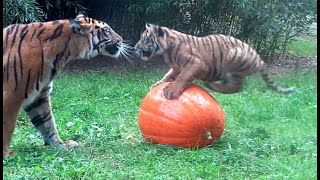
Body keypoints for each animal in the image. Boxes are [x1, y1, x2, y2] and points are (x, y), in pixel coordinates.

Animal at [2, 11, 129, 157]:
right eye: (107, 30)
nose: (121, 40)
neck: (62, 52)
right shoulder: (12, 96)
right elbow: (7, 127)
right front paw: (6, 154)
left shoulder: (39, 97)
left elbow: (47, 123)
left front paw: (59, 144)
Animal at [134, 23, 294, 99]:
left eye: (144, 39)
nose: (135, 48)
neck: (166, 50)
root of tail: (260, 60)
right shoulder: (176, 67)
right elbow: (168, 75)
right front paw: (158, 84)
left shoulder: (195, 63)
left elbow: (182, 77)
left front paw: (171, 91)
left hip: (233, 59)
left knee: (237, 88)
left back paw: (211, 85)